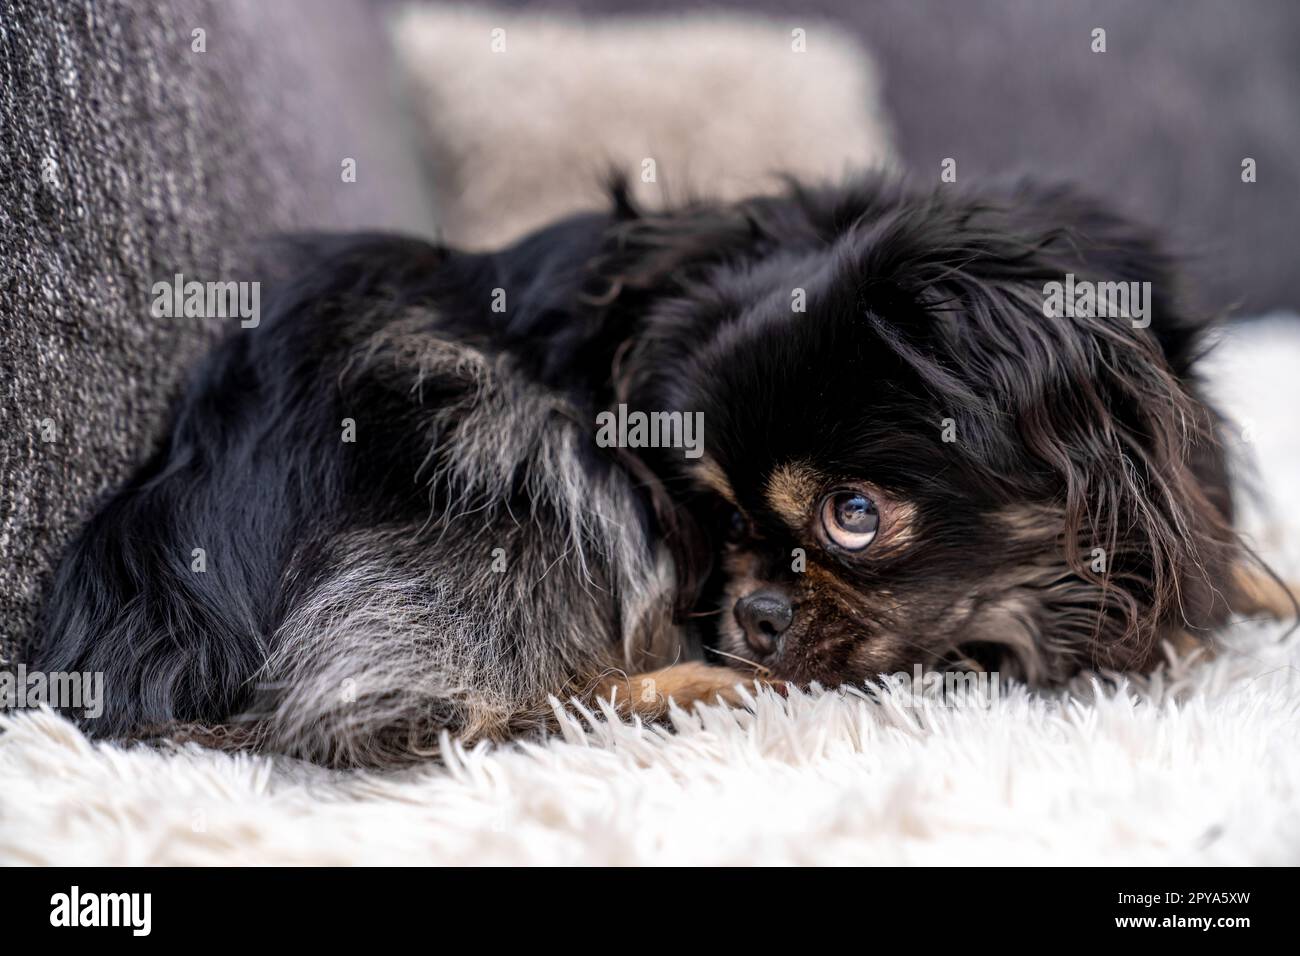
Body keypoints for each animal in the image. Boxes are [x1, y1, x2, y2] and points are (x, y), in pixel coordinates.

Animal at [32, 175, 1279, 764]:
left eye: (854, 515)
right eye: (716, 514)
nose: (754, 610)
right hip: (496, 424)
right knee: (452, 711)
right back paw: (704, 688)